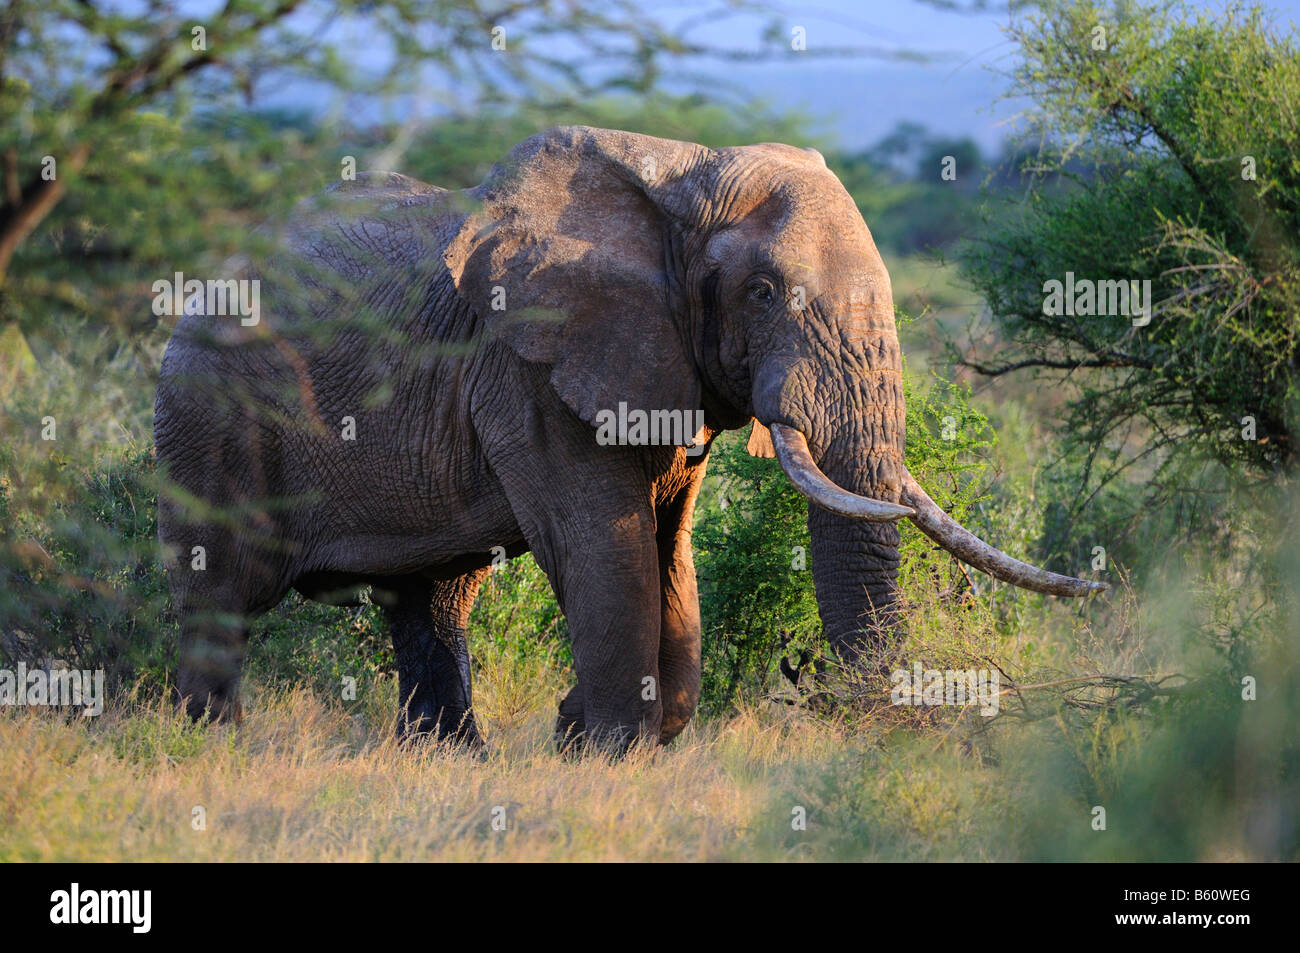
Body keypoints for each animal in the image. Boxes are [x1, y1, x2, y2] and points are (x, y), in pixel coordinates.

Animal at [154, 126, 1107, 748]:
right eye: (763, 293)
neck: (680, 176)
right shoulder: (529, 365)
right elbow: (601, 542)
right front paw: (599, 745)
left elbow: (667, 542)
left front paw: (607, 734)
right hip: (210, 413)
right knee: (226, 590)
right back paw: (209, 746)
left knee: (432, 598)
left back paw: (445, 756)